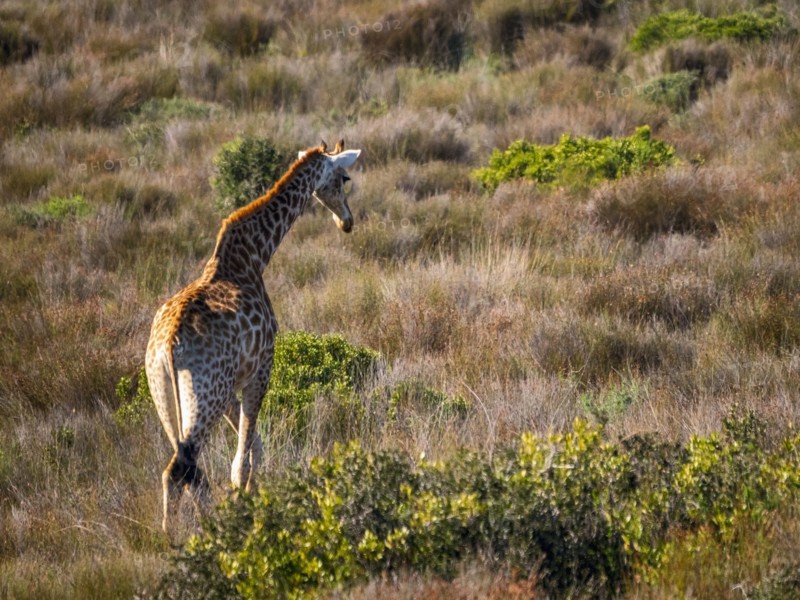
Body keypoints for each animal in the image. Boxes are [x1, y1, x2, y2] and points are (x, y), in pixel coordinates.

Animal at [145, 139, 361, 535]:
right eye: (344, 178)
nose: (347, 222)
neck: (254, 257)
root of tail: (167, 347)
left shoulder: (233, 384)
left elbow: (254, 449)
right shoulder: (262, 367)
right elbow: (241, 460)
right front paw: (245, 504)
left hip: (164, 396)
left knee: (187, 468)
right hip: (205, 396)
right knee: (180, 468)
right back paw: (178, 538)